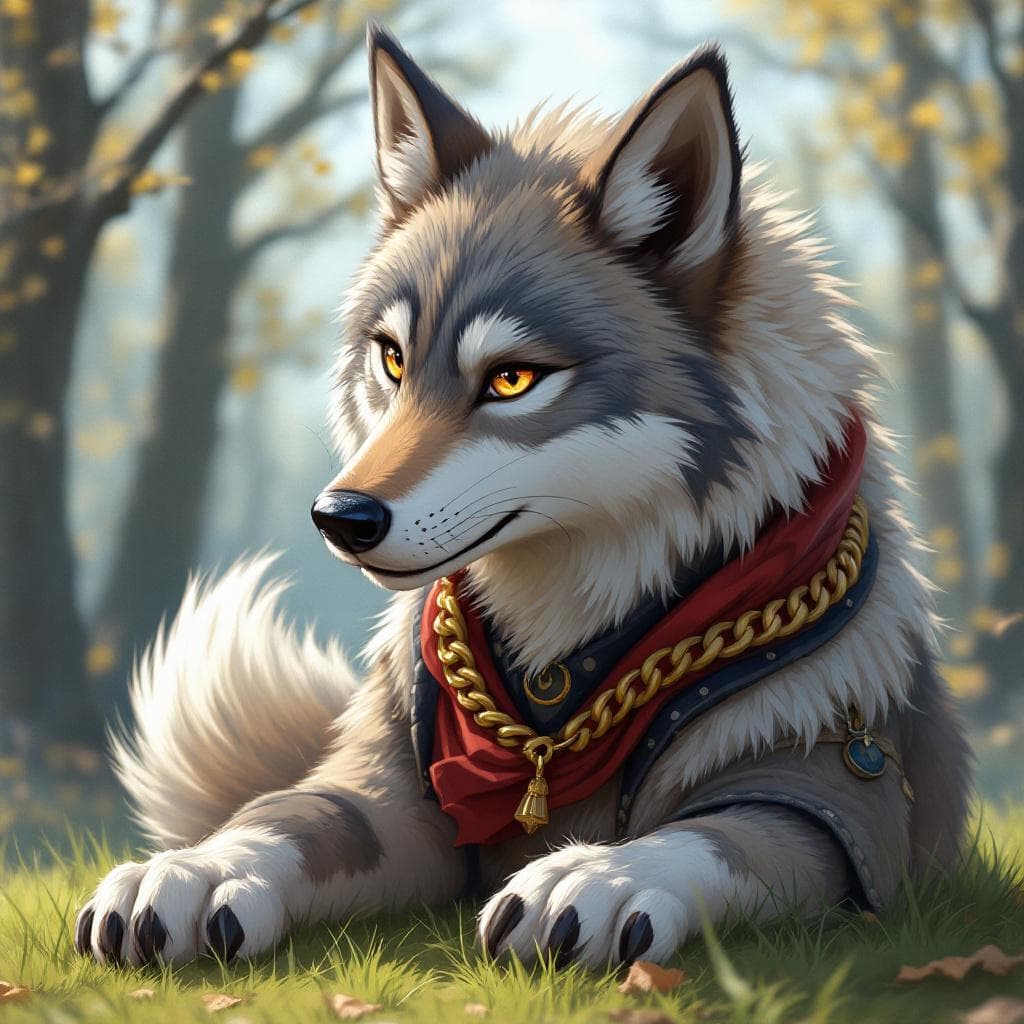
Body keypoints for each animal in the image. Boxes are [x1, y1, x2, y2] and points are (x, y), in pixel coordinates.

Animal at [76, 27, 971, 969]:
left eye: (511, 379)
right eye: (393, 358)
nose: (338, 518)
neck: (560, 668)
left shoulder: (834, 791)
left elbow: (710, 837)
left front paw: (593, 876)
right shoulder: (390, 792)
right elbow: (286, 813)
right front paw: (191, 869)